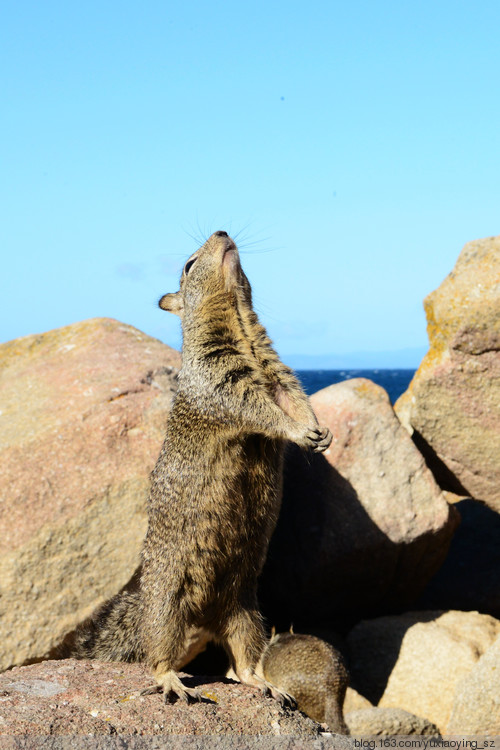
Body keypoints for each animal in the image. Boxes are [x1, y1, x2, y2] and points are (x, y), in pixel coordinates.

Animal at [69, 234, 332, 704]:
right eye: (190, 265)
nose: (223, 232)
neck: (242, 332)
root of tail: (203, 622)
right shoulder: (222, 382)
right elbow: (263, 411)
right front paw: (300, 432)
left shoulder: (279, 375)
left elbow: (295, 398)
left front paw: (320, 431)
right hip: (167, 609)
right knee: (158, 655)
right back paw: (172, 681)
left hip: (247, 614)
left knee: (241, 662)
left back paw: (264, 683)